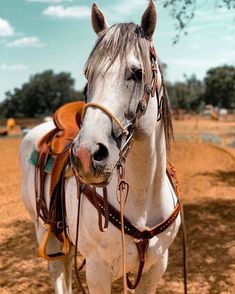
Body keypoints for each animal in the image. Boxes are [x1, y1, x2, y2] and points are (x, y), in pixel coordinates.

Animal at [20, 1, 181, 292]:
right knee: (57, 271)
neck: (143, 199)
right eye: (88, 74)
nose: (86, 155)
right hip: (42, 228)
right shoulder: (97, 271)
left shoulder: (155, 267)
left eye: (137, 73)